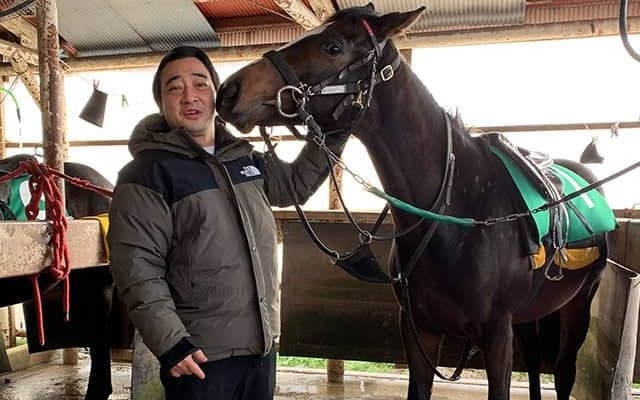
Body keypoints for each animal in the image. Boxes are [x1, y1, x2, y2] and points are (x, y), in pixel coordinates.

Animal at [215, 5, 610, 400]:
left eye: (333, 46)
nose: (230, 91)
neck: (459, 211)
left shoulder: (497, 334)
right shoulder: (420, 330)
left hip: (577, 307)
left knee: (563, 372)